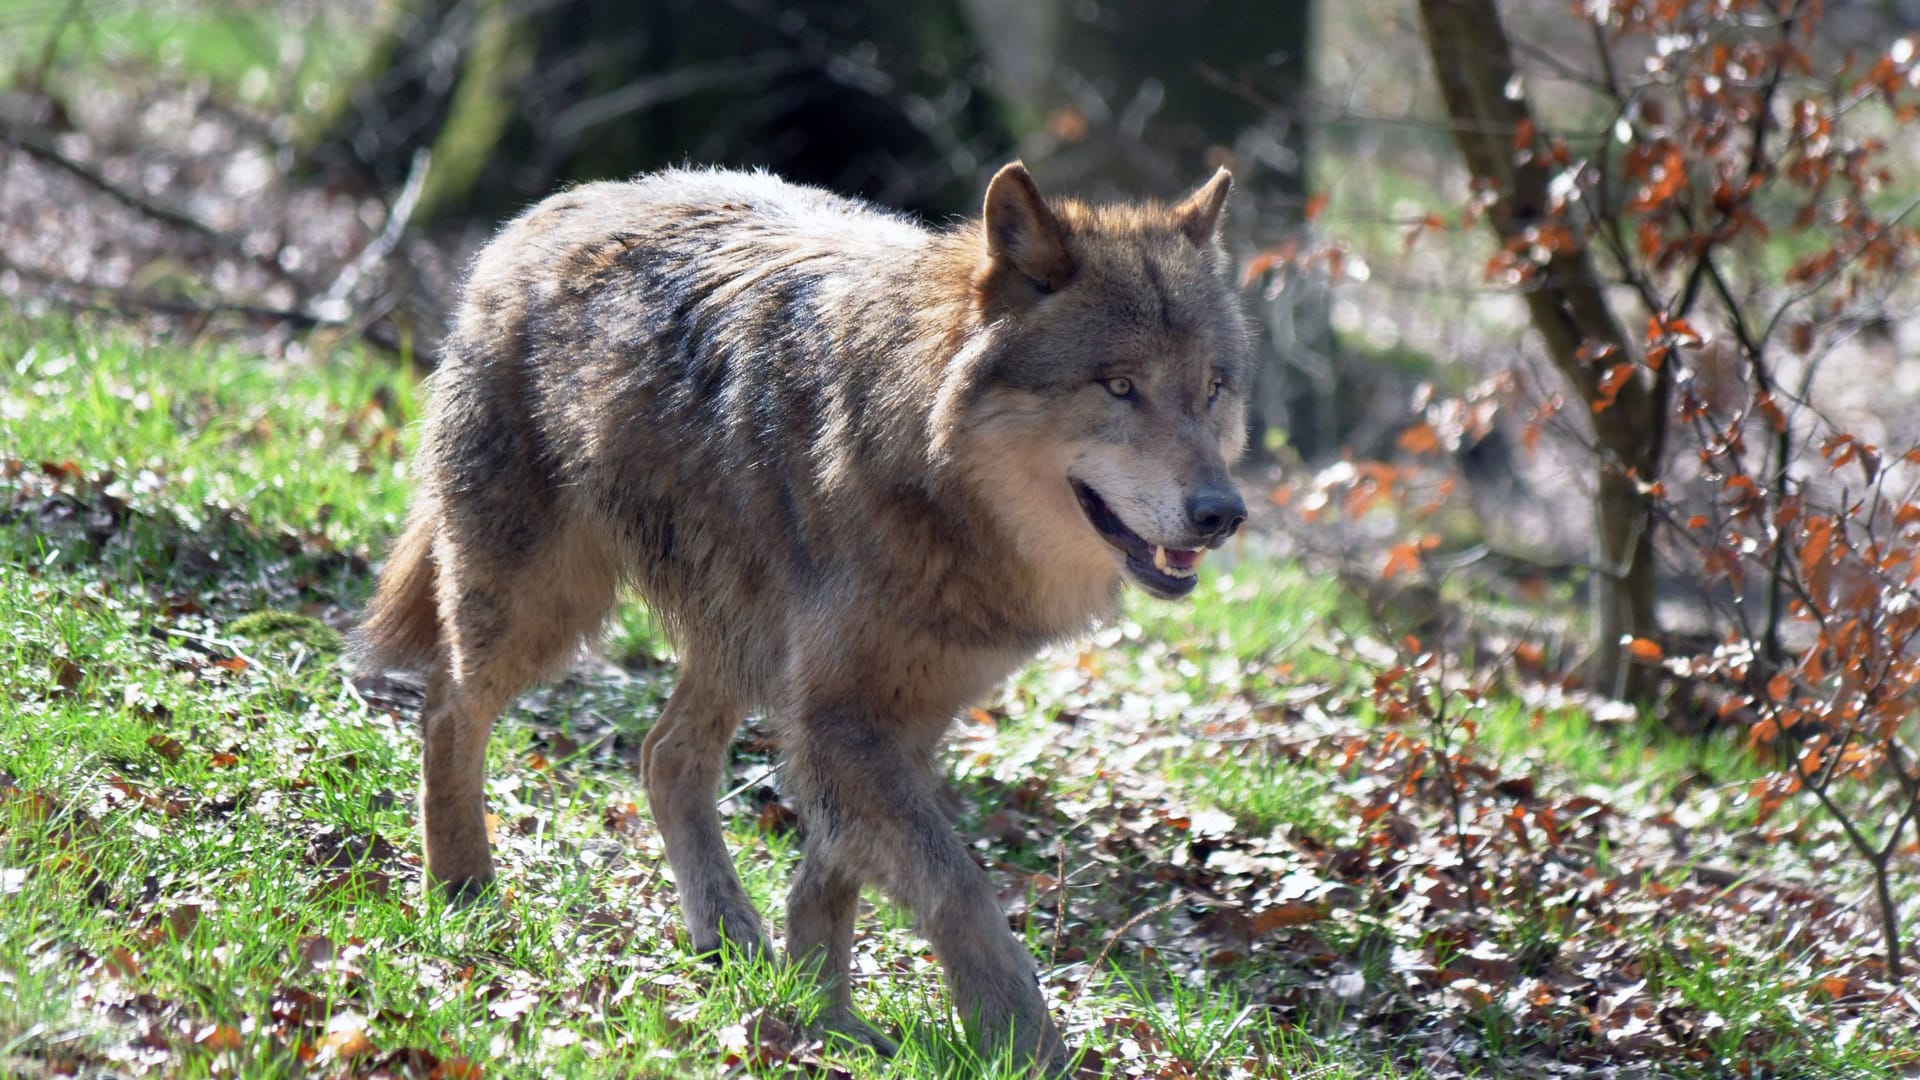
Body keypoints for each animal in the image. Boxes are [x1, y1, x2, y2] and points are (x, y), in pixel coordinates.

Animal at [359, 159, 1251, 1068]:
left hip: (739, 638)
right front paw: (1022, 1043)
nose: (1223, 514)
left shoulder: (889, 716)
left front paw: (825, 1016)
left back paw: (725, 935)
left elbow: (833, 874)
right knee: (447, 708)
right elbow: (958, 888)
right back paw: (462, 888)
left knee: (663, 755)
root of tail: (553, 206)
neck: (932, 479)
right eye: (1120, 386)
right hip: (542, 605)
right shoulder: (840, 717)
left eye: (1213, 389)